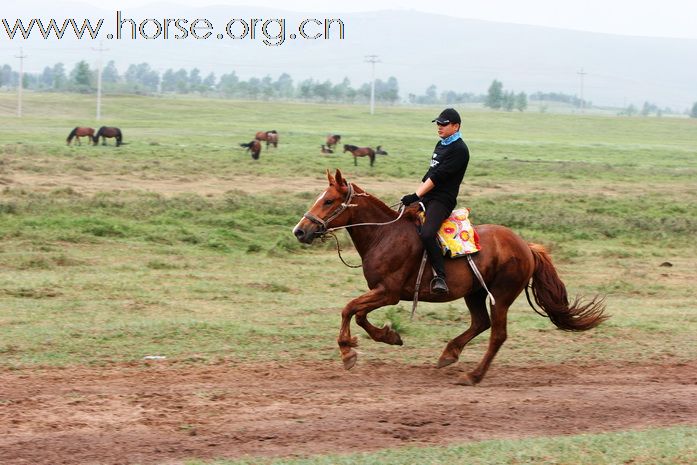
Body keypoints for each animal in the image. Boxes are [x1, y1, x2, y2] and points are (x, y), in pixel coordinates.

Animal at [290, 169, 608, 384]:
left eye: (329, 201)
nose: (300, 231)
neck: (384, 234)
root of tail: (525, 246)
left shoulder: (388, 293)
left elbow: (349, 310)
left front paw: (348, 353)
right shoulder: (382, 293)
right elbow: (358, 315)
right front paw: (389, 336)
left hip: (501, 296)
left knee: (497, 334)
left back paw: (473, 375)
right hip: (474, 293)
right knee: (480, 323)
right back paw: (449, 354)